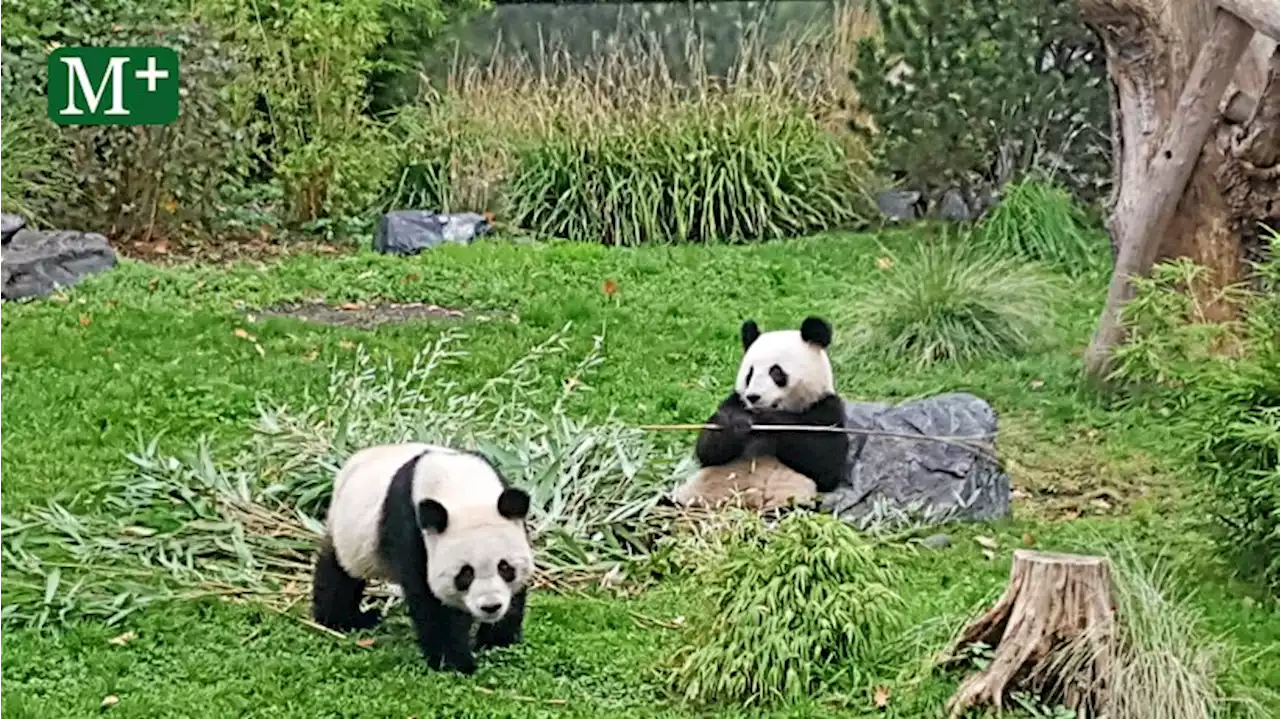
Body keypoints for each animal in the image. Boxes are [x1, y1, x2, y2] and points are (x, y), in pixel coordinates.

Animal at [314, 440, 535, 675]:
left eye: (505, 568)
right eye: (465, 574)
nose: (491, 607)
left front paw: (497, 642)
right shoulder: (411, 527)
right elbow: (430, 600)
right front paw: (455, 662)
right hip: (349, 529)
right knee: (339, 573)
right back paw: (345, 620)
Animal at [660, 314, 849, 509]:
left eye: (776, 372)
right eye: (749, 373)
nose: (753, 397)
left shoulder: (826, 409)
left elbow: (824, 462)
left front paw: (767, 420)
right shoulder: (733, 401)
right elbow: (708, 451)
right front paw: (736, 423)